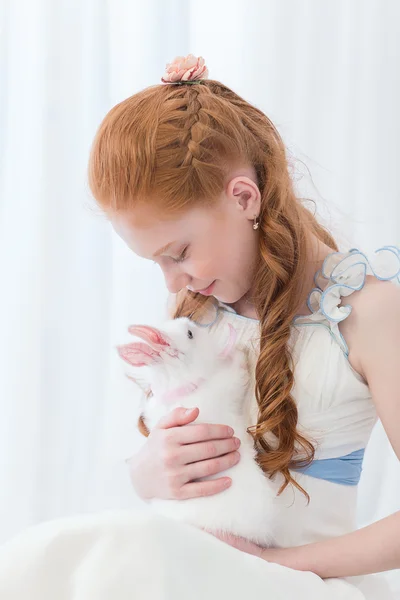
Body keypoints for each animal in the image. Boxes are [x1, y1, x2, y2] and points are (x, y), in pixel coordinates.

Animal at [116, 316, 278, 548]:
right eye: (190, 334)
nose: (194, 325)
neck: (180, 386)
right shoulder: (228, 384)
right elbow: (239, 371)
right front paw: (240, 351)